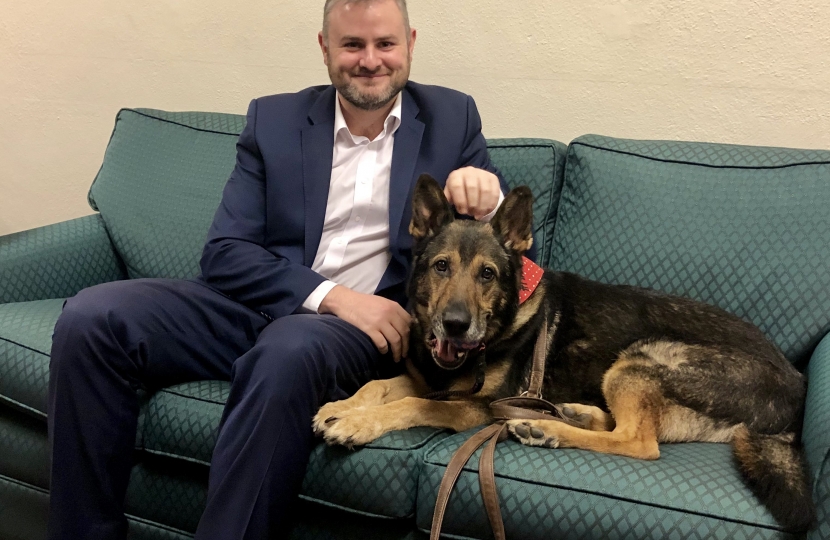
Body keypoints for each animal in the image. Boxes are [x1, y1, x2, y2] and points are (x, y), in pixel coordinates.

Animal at [316, 175, 816, 528]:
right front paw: (340, 407)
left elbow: (411, 404)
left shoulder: (475, 407)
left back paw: (548, 428)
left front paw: (357, 424)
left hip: (640, 359)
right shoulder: (432, 381)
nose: (455, 325)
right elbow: (379, 384)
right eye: (441, 267)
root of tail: (797, 386)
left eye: (487, 274)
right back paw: (569, 415)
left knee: (639, 442)